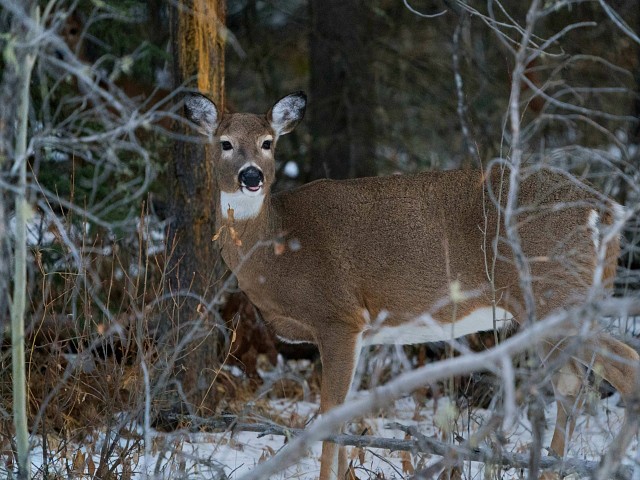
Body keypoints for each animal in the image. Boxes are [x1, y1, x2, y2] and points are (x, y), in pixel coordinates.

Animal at [184, 92, 640, 478]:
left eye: (267, 142)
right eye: (225, 143)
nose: (251, 176)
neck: (278, 248)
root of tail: (606, 210)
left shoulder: (338, 316)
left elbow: (330, 412)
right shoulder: (362, 331)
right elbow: (345, 410)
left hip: (556, 292)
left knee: (621, 368)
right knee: (572, 384)